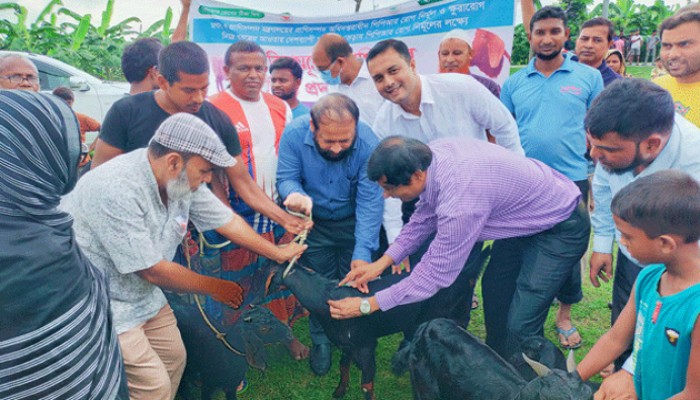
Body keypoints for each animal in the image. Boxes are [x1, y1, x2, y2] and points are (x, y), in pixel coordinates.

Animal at [276, 262, 474, 400]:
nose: (288, 323)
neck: (327, 298)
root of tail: (467, 277)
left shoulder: (366, 345)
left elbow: (366, 384)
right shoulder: (347, 345)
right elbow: (343, 366)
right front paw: (339, 391)